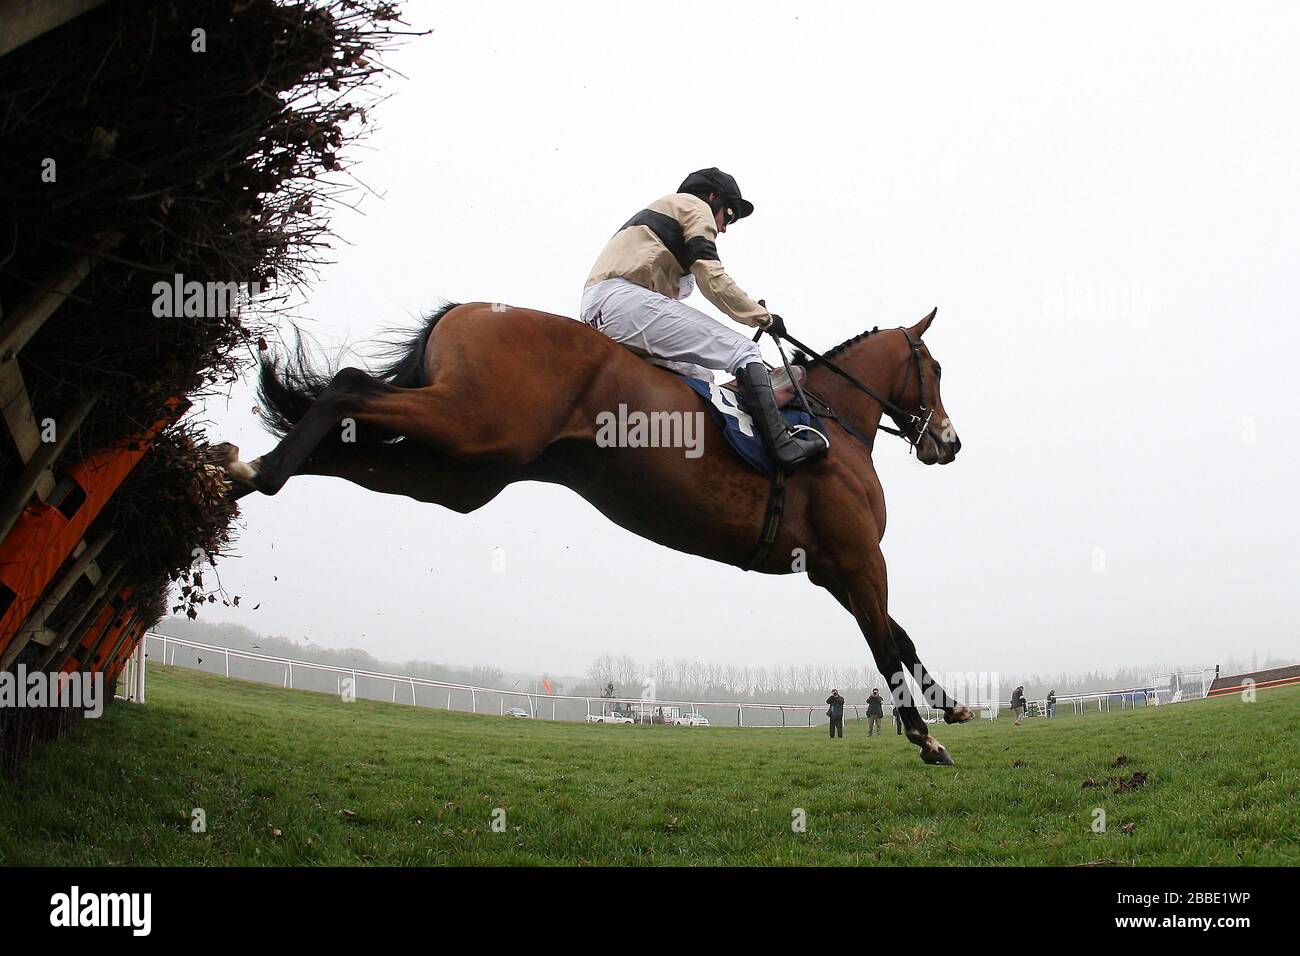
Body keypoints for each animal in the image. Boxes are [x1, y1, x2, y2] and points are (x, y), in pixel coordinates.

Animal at [218, 303, 977, 764]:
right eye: (936, 369)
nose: (949, 442)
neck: (832, 423)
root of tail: (466, 310)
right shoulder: (858, 557)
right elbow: (885, 644)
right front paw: (923, 737)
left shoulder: (832, 568)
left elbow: (901, 638)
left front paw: (952, 708)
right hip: (473, 423)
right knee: (348, 385)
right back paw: (253, 468)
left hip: (462, 473)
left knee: (349, 440)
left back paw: (242, 472)